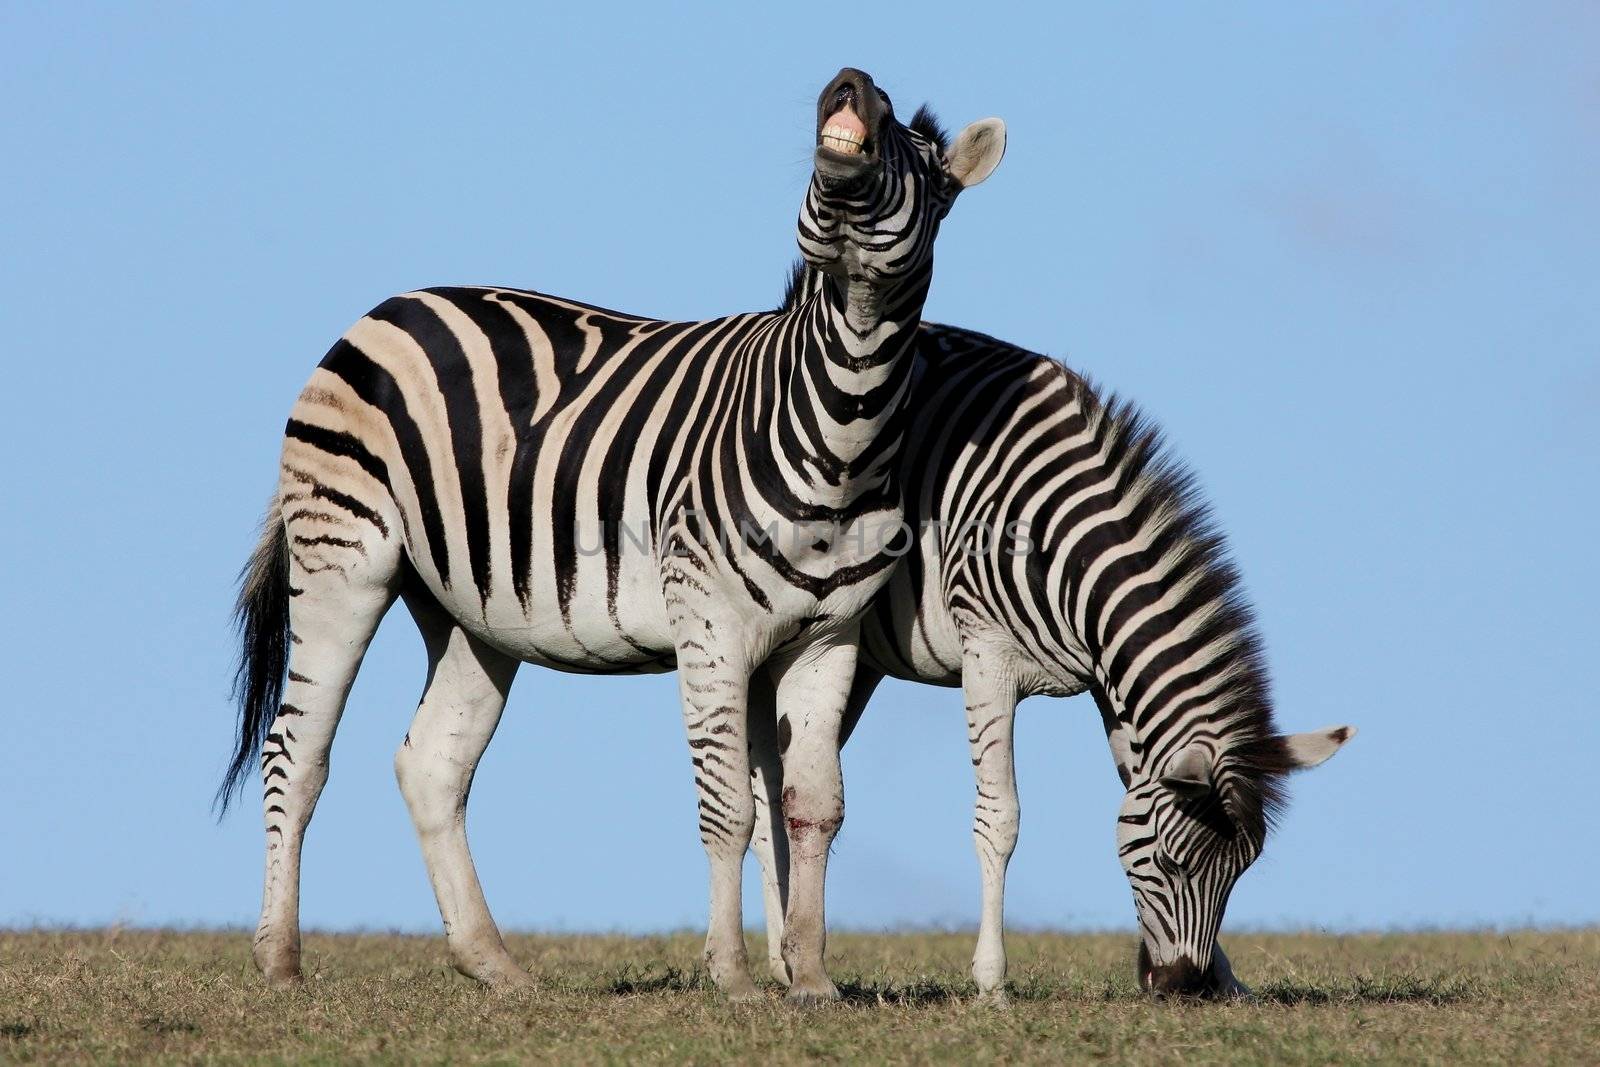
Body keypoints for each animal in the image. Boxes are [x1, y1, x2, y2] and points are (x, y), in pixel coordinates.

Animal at [220, 66, 1004, 1004]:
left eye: (922, 159)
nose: (850, 81)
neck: (839, 422)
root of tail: (388, 307)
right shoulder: (709, 622)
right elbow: (728, 805)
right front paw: (734, 976)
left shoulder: (829, 637)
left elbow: (814, 803)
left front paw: (812, 977)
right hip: (345, 551)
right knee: (296, 750)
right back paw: (279, 959)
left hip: (469, 610)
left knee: (432, 765)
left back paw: (495, 964)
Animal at [745, 302, 1350, 1004]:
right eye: (1171, 861)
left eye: (1242, 870)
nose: (1182, 986)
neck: (1064, 550)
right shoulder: (987, 660)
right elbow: (1000, 818)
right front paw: (990, 980)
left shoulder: (1111, 683)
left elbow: (1133, 783)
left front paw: (1228, 977)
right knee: (762, 795)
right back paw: (777, 961)